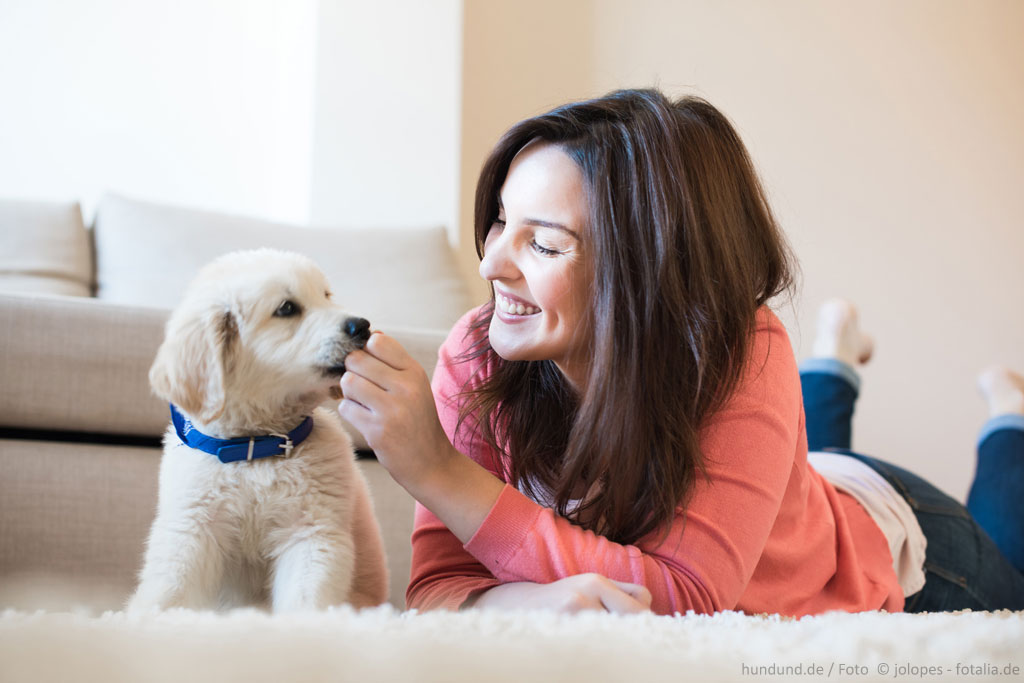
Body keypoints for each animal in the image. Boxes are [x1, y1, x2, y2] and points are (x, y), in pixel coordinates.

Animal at [128, 248, 385, 610]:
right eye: (287, 308)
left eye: (326, 295)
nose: (362, 325)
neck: (255, 445)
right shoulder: (192, 529)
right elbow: (170, 591)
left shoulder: (311, 533)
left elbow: (305, 601)